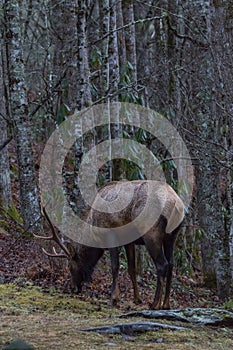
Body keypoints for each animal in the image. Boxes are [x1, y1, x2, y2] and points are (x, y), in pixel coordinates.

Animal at [35, 180, 184, 308]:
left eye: (70, 266)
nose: (73, 288)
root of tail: (176, 203)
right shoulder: (129, 241)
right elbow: (131, 268)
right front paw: (137, 298)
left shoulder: (110, 233)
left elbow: (115, 266)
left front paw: (113, 298)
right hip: (172, 236)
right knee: (171, 264)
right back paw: (166, 304)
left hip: (151, 233)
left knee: (162, 264)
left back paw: (155, 304)